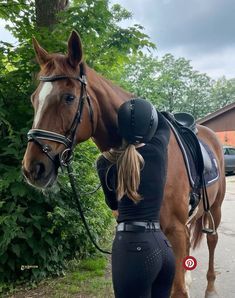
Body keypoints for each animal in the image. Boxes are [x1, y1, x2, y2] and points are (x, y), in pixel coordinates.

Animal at [22, 30, 226, 298]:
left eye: (68, 97)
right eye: (34, 99)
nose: (32, 168)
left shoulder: (176, 231)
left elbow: (178, 289)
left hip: (216, 208)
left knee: (212, 241)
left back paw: (211, 287)